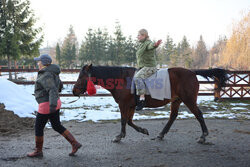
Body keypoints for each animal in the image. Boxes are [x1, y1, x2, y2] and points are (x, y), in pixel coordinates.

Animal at [72, 64, 229, 144]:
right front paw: (142, 130)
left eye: (81, 76)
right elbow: (129, 121)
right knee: (173, 116)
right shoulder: (131, 106)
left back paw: (203, 135)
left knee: (199, 115)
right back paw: (161, 134)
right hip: (177, 100)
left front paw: (119, 136)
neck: (121, 79)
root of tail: (191, 72)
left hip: (189, 100)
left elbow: (123, 120)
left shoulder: (124, 105)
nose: (74, 91)